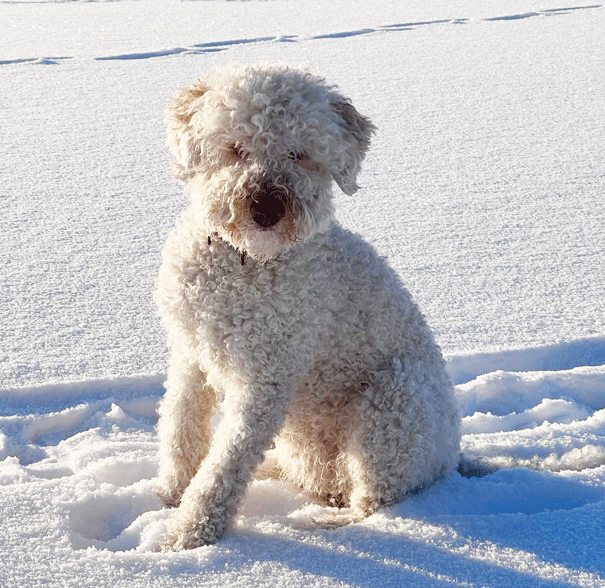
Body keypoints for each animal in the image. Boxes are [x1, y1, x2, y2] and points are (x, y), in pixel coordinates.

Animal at [155, 64, 458, 552]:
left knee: (374, 501)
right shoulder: (190, 352)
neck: (245, 262)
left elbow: (225, 463)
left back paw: (319, 525)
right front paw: (170, 491)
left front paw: (188, 533)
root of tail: (453, 458)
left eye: (300, 154)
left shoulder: (265, 380)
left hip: (394, 402)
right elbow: (181, 425)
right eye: (236, 149)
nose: (266, 207)